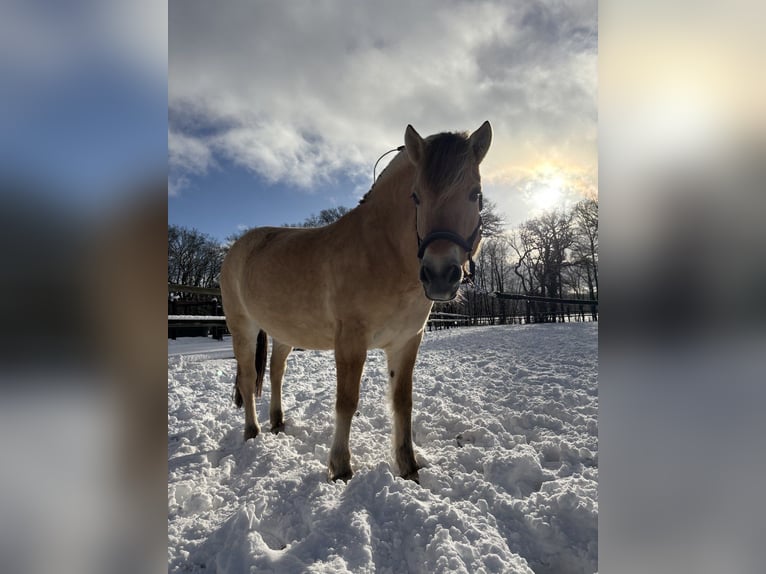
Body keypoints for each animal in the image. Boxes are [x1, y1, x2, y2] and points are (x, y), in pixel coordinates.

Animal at [220, 121, 492, 482]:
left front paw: (408, 467)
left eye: (475, 194)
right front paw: (340, 468)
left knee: (277, 371)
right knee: (249, 379)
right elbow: (346, 401)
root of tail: (237, 247)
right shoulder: (350, 340)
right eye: (416, 196)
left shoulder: (407, 341)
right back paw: (253, 432)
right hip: (243, 328)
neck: (383, 252)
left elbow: (402, 401)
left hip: (284, 333)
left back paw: (278, 423)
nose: (439, 275)